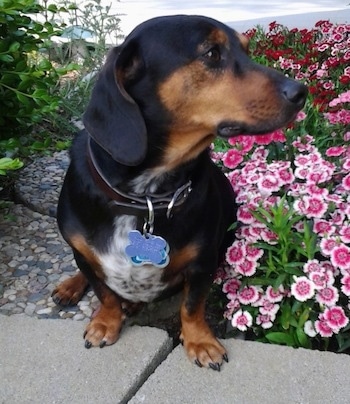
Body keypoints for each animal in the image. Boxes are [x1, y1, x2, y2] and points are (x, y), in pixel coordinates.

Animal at [52, 15, 306, 370]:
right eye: (212, 53)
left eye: (246, 49)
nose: (302, 91)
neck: (145, 198)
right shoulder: (83, 254)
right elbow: (104, 292)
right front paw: (105, 322)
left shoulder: (203, 262)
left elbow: (191, 305)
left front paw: (200, 342)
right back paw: (70, 287)